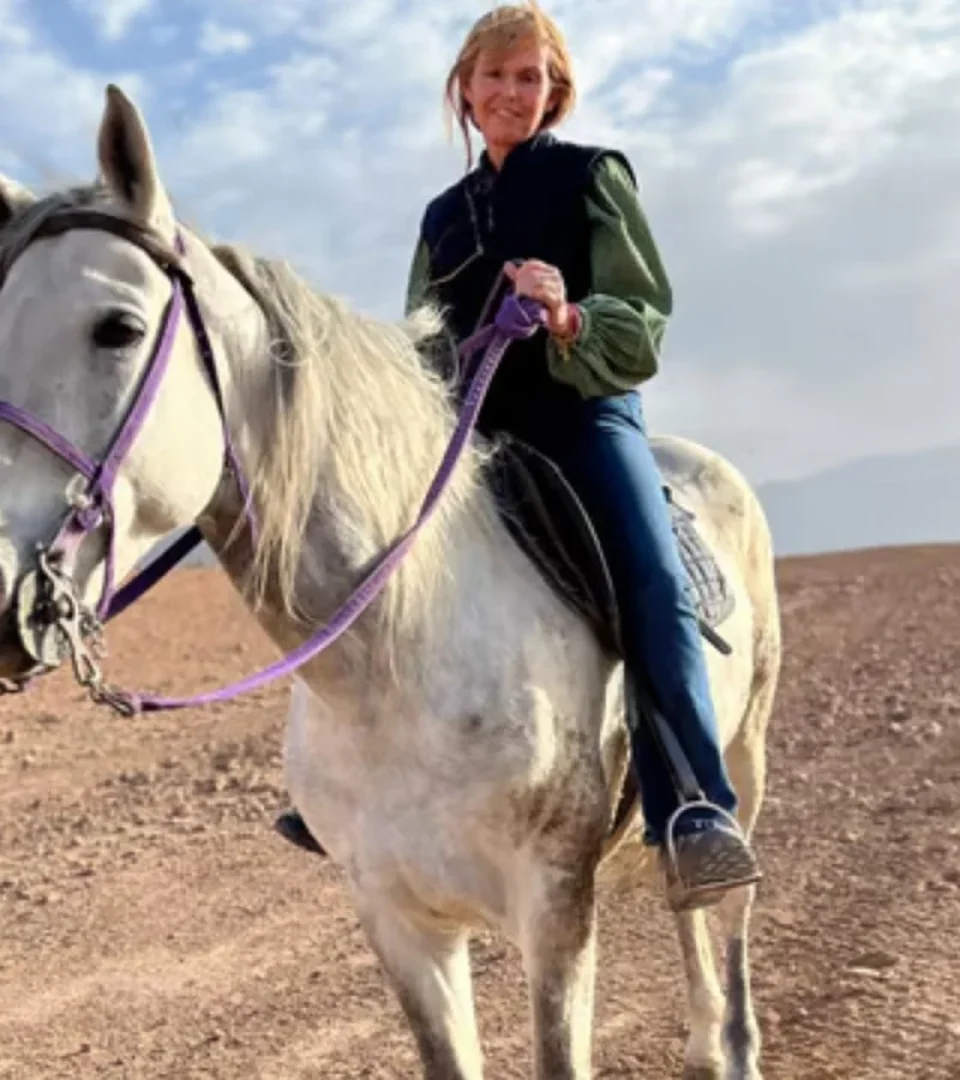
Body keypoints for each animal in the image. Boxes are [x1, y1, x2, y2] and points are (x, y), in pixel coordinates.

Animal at [0, 84, 781, 1080]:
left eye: (119, 327)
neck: (399, 660)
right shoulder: (396, 918)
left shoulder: (556, 908)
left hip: (746, 757)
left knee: (727, 909)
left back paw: (735, 1042)